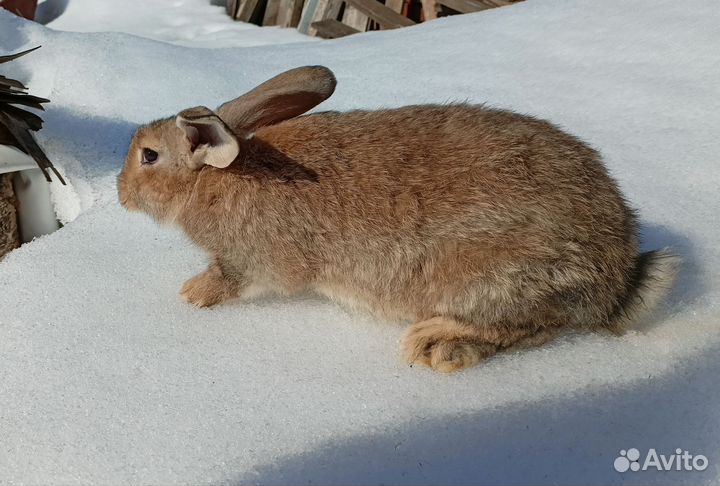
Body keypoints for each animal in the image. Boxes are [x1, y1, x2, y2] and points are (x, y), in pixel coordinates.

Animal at [117, 65, 679, 373]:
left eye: (148, 156)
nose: (120, 193)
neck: (219, 175)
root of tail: (619, 279)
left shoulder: (254, 260)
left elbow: (234, 278)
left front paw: (193, 294)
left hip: (498, 275)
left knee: (531, 328)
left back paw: (435, 344)